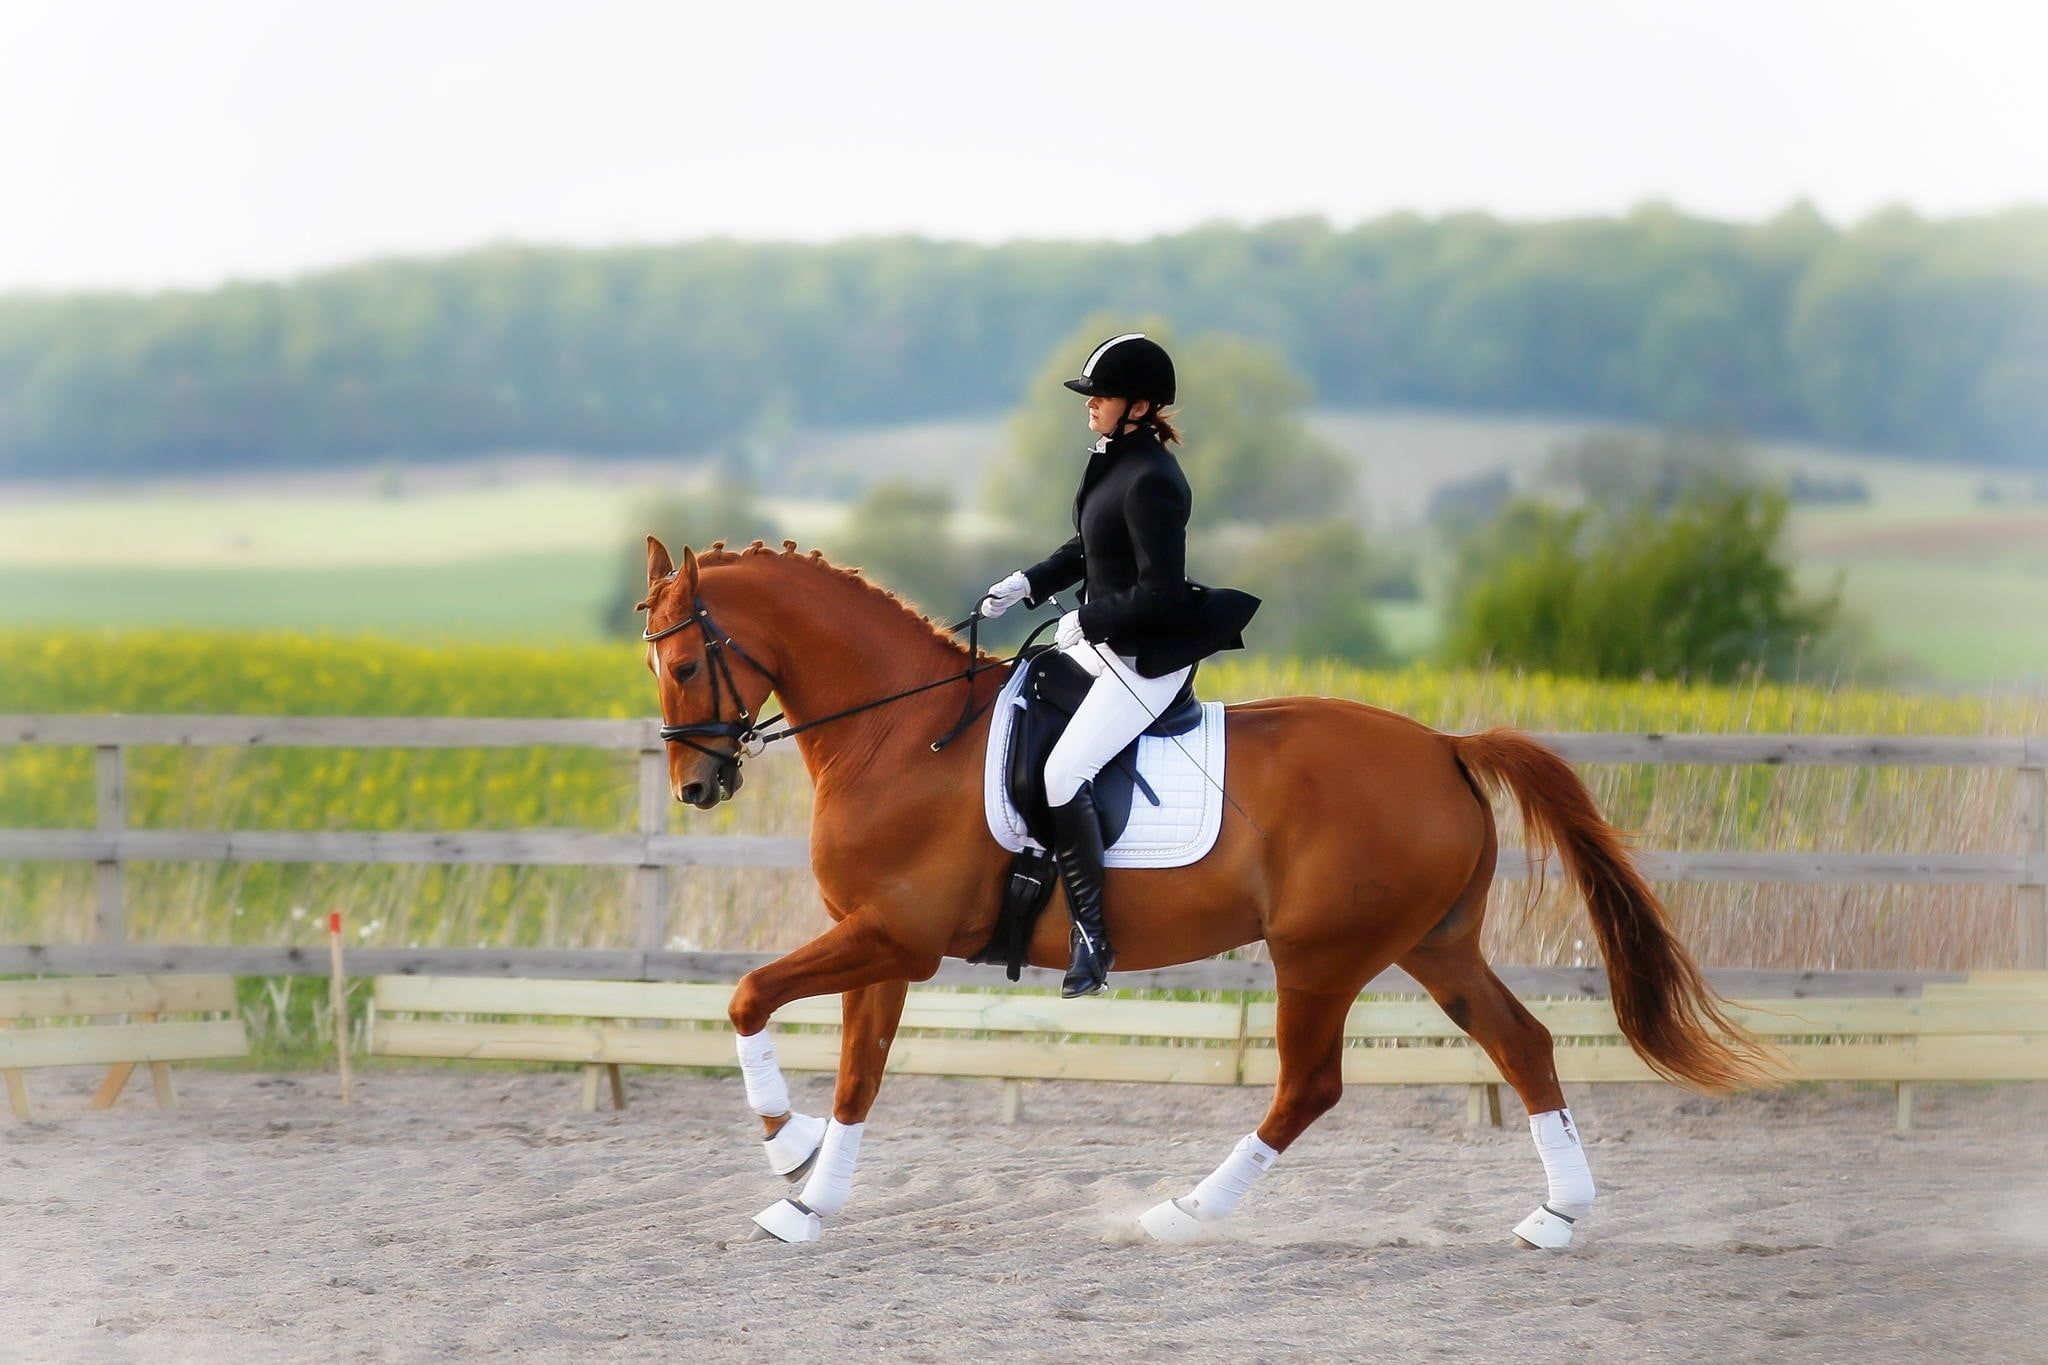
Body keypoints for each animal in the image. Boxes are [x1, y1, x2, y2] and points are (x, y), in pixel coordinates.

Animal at [637, 536, 1770, 1247]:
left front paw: (786, 1150)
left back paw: (1180, 1215)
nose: (696, 786)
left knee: (1308, 1087)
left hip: (1319, 956)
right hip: (1434, 945)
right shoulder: (881, 942)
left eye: (687, 664)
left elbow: (748, 998)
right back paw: (1556, 1217)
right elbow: (856, 1078)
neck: (903, 733)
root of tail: (1444, 745)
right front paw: (807, 1200)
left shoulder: (895, 938)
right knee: (1522, 1044)